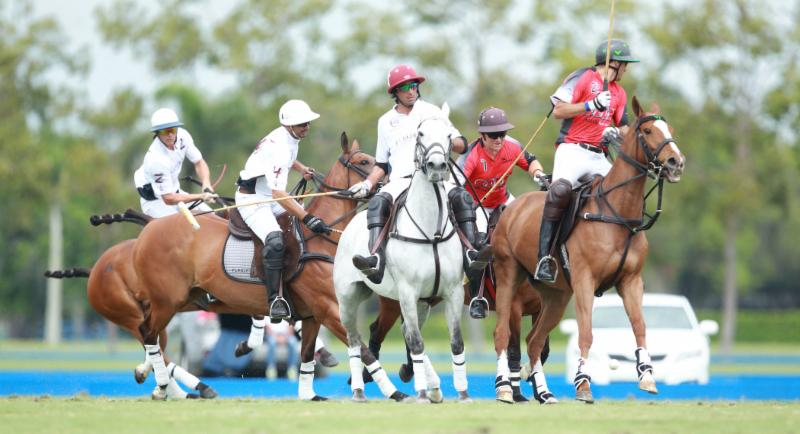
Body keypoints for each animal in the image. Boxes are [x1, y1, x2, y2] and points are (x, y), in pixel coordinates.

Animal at [333, 106, 471, 403]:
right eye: (421, 133)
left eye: (448, 135)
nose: (437, 166)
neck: (431, 230)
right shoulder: (408, 290)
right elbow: (417, 342)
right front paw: (420, 393)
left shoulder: (452, 291)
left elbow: (455, 342)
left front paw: (463, 393)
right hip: (348, 296)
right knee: (353, 339)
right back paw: (359, 391)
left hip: (418, 302)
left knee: (404, 331)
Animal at [491, 96, 685, 403]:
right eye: (648, 131)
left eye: (670, 129)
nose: (676, 162)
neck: (618, 213)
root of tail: (512, 206)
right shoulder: (585, 279)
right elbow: (586, 333)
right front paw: (583, 384)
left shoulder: (631, 281)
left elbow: (640, 326)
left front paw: (647, 376)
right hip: (508, 273)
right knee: (502, 333)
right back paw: (504, 389)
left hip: (556, 295)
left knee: (534, 341)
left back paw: (545, 394)